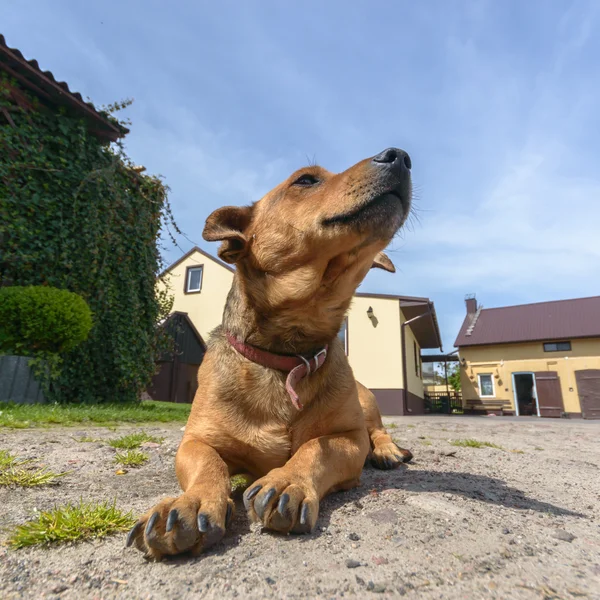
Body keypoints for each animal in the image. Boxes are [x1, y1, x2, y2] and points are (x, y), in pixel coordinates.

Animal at [127, 145, 412, 556]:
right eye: (306, 180)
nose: (400, 155)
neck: (288, 356)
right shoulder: (195, 440)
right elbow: (208, 464)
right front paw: (190, 502)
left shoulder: (348, 438)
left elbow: (316, 448)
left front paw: (287, 480)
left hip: (367, 400)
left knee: (379, 430)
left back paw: (387, 450)